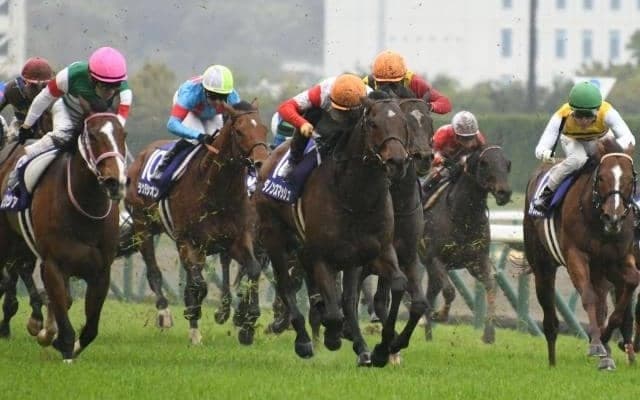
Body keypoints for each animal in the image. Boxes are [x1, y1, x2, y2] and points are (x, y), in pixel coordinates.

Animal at [0, 111, 127, 361]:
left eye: (123, 135)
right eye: (93, 136)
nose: (115, 182)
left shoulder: (101, 271)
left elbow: (90, 328)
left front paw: (60, 340)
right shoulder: (54, 265)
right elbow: (63, 315)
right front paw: (62, 346)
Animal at [125, 100, 270, 345]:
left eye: (264, 128)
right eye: (239, 131)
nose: (261, 163)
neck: (217, 191)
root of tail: (141, 156)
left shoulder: (236, 239)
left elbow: (253, 269)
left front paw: (248, 323)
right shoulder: (187, 241)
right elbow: (198, 285)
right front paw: (196, 323)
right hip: (142, 227)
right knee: (154, 272)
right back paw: (165, 314)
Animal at [254, 95, 411, 367]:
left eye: (403, 123)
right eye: (373, 124)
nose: (397, 162)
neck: (356, 196)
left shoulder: (376, 252)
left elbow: (395, 286)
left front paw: (380, 349)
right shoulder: (322, 257)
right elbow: (334, 312)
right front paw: (332, 336)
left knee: (345, 301)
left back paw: (360, 346)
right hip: (275, 237)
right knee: (286, 285)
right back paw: (304, 340)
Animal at [418, 144, 512, 344]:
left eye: (508, 163)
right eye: (484, 163)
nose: (504, 193)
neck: (462, 217)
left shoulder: (477, 261)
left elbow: (491, 286)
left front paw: (489, 334)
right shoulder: (434, 258)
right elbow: (450, 291)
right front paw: (441, 315)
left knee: (429, 295)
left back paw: (428, 334)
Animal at [523, 138, 639, 369]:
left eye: (630, 179)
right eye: (601, 177)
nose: (613, 218)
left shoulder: (617, 258)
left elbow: (631, 282)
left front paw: (605, 339)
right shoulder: (575, 254)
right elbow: (588, 296)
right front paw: (595, 344)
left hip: (599, 270)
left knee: (603, 301)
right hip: (542, 264)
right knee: (549, 314)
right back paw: (552, 361)